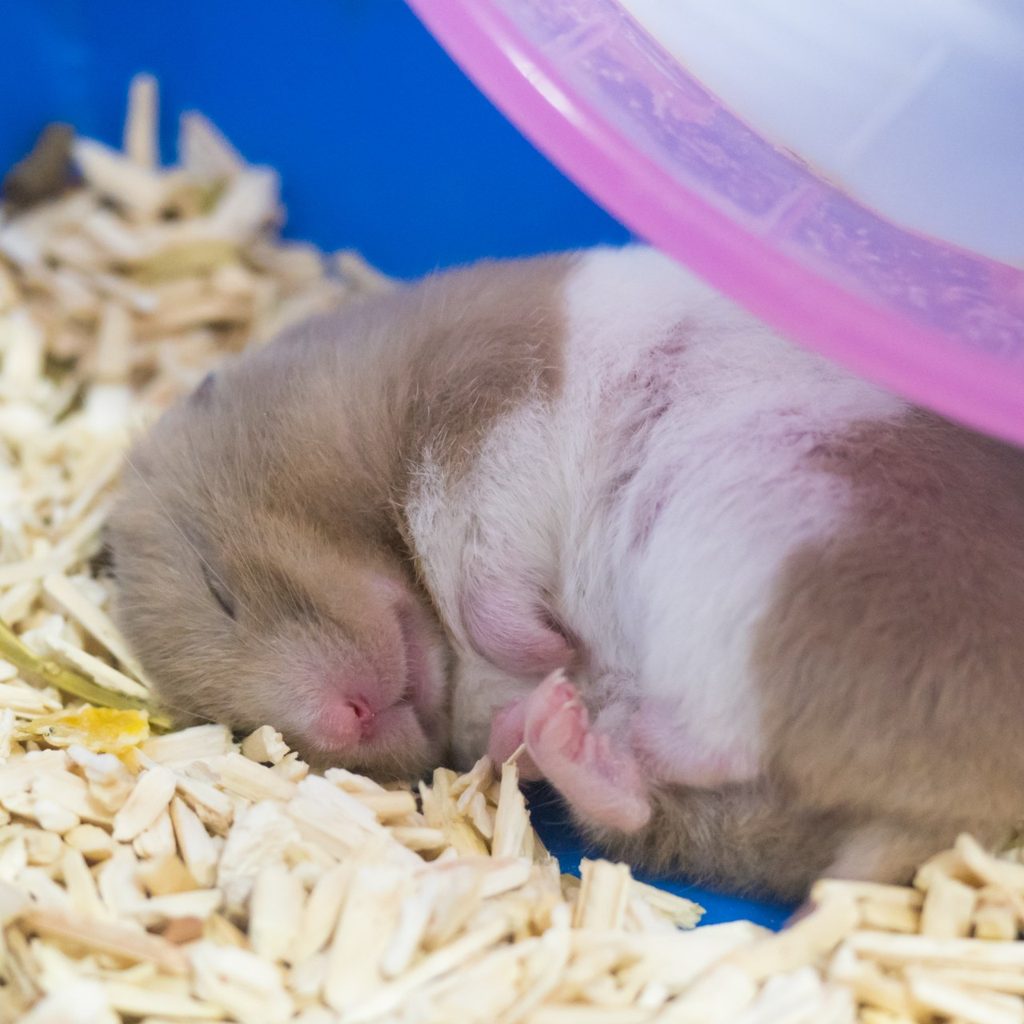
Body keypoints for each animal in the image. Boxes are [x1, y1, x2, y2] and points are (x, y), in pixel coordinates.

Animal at [105, 245, 1024, 901]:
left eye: (219, 588)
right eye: (245, 731)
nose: (350, 719)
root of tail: (965, 812)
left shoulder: (486, 416)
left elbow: (485, 561)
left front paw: (543, 646)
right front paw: (535, 685)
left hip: (764, 538)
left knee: (722, 732)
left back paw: (561, 704)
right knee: (656, 793)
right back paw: (553, 730)